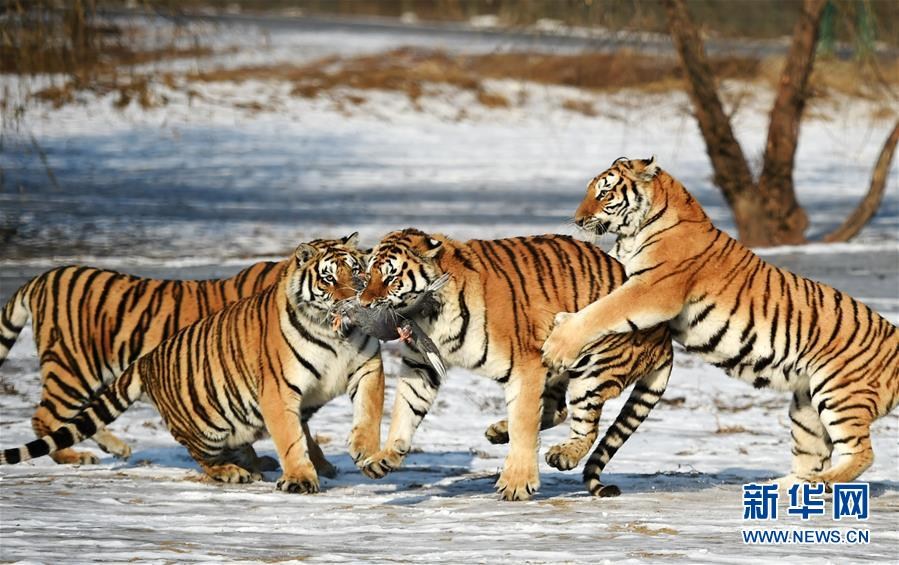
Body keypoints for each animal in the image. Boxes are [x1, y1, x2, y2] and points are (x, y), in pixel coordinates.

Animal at [1, 236, 384, 492]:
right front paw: (310, 468)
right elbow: (295, 432)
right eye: (329, 278)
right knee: (45, 418)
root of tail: (42, 278)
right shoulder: (273, 381)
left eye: (358, 272)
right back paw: (76, 457)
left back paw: (116, 447)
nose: (356, 298)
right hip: (73, 370)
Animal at [355, 228, 673, 500]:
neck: (431, 315)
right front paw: (385, 458)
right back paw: (498, 431)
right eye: (368, 275)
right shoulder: (421, 364)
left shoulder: (526, 365)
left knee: (585, 426)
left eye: (391, 278)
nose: (363, 304)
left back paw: (563, 455)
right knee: (557, 410)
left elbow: (524, 421)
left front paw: (517, 484)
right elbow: (405, 408)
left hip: (591, 369)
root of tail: (666, 337)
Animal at [542, 156, 899, 488]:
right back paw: (780, 488)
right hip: (806, 407)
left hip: (839, 394)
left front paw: (558, 344)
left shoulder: (652, 291)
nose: (578, 220)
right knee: (811, 458)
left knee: (862, 453)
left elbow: (603, 311)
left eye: (604, 193)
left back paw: (820, 483)